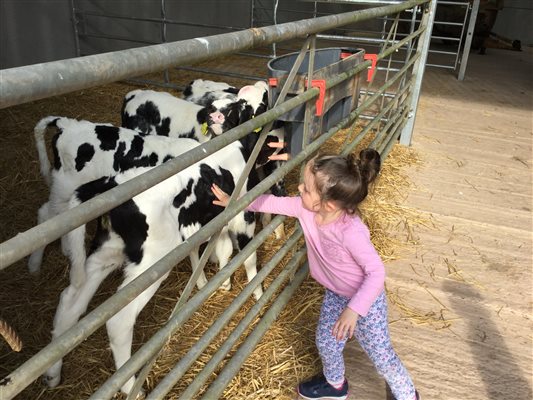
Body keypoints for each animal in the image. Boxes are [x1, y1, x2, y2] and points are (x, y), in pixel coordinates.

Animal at [43, 134, 264, 394]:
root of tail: (109, 183)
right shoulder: (243, 214)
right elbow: (248, 254)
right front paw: (257, 293)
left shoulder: (215, 220)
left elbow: (221, 249)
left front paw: (221, 282)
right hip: (151, 264)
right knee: (119, 321)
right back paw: (130, 387)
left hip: (106, 252)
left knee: (70, 303)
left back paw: (53, 373)